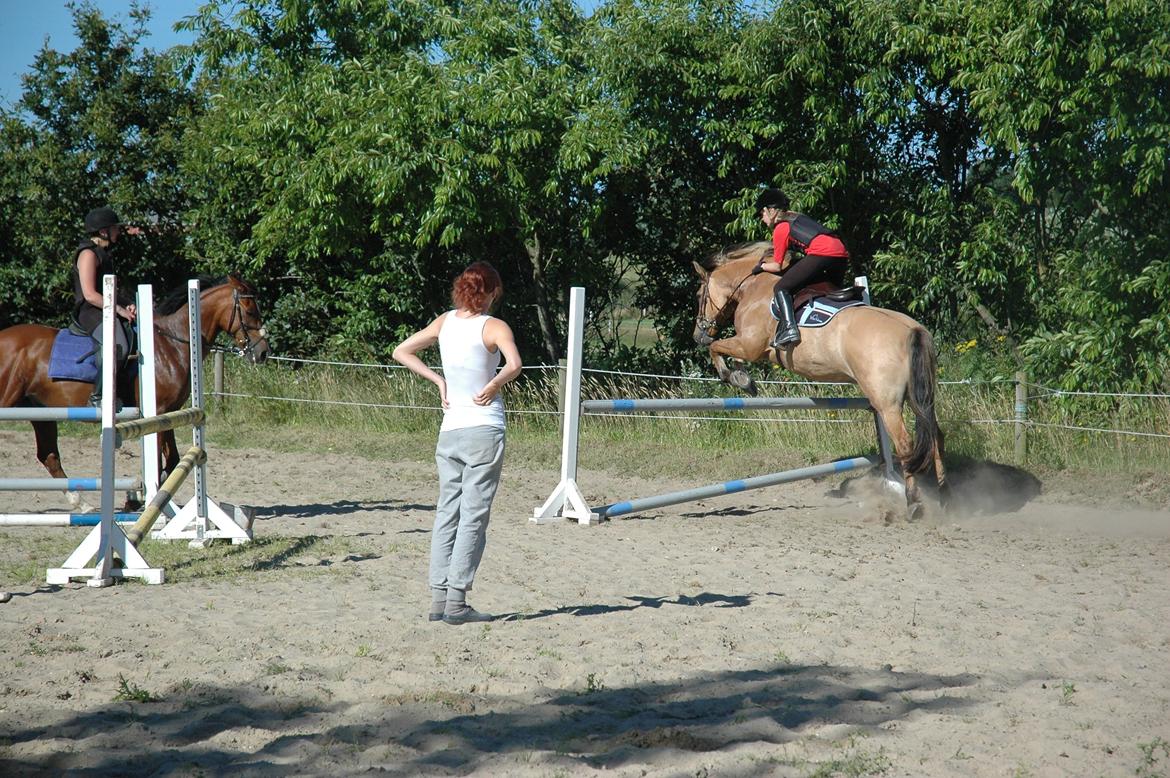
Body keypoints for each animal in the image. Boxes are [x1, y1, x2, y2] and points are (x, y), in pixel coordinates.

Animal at [1, 272, 269, 510]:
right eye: (250, 311)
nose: (263, 352)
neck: (173, 343)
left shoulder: (169, 413)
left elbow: (172, 460)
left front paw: (141, 499)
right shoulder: (157, 411)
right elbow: (160, 461)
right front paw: (142, 500)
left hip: (41, 412)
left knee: (49, 456)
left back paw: (82, 504)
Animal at [692, 239, 950, 512]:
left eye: (699, 296)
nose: (698, 335)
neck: (752, 287)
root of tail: (912, 330)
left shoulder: (750, 344)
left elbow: (716, 347)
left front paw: (732, 377)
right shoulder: (751, 347)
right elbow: (730, 354)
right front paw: (744, 379)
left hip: (886, 402)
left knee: (905, 444)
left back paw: (913, 502)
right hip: (920, 396)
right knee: (936, 437)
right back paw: (945, 496)